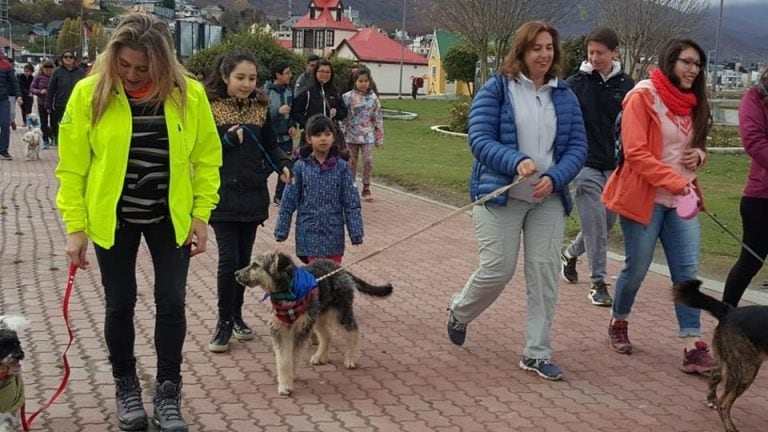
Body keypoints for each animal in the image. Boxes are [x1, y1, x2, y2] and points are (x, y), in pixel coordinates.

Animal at [236, 251, 392, 396]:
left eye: (256, 265)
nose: (235, 274)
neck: (288, 291)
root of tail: (340, 269)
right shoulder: (279, 328)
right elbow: (283, 359)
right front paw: (284, 383)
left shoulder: (301, 329)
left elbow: (293, 357)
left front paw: (288, 381)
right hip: (318, 316)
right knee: (327, 336)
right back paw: (319, 357)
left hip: (339, 312)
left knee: (353, 330)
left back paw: (351, 359)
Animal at [672, 280, 768, 432]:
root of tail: (729, 311)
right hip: (746, 370)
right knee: (723, 404)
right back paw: (730, 427)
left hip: (734, 364)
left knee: (715, 374)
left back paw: (711, 400)